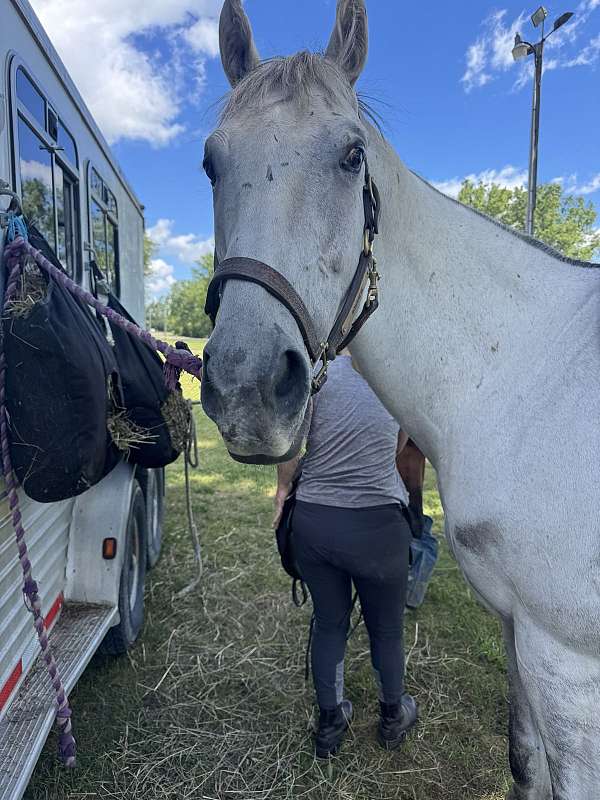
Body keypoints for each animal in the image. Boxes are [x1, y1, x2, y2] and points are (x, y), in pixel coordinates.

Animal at [200, 1, 600, 797]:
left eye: (353, 156)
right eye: (210, 163)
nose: (246, 389)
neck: (519, 371)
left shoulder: (566, 658)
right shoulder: (518, 632)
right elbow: (525, 763)